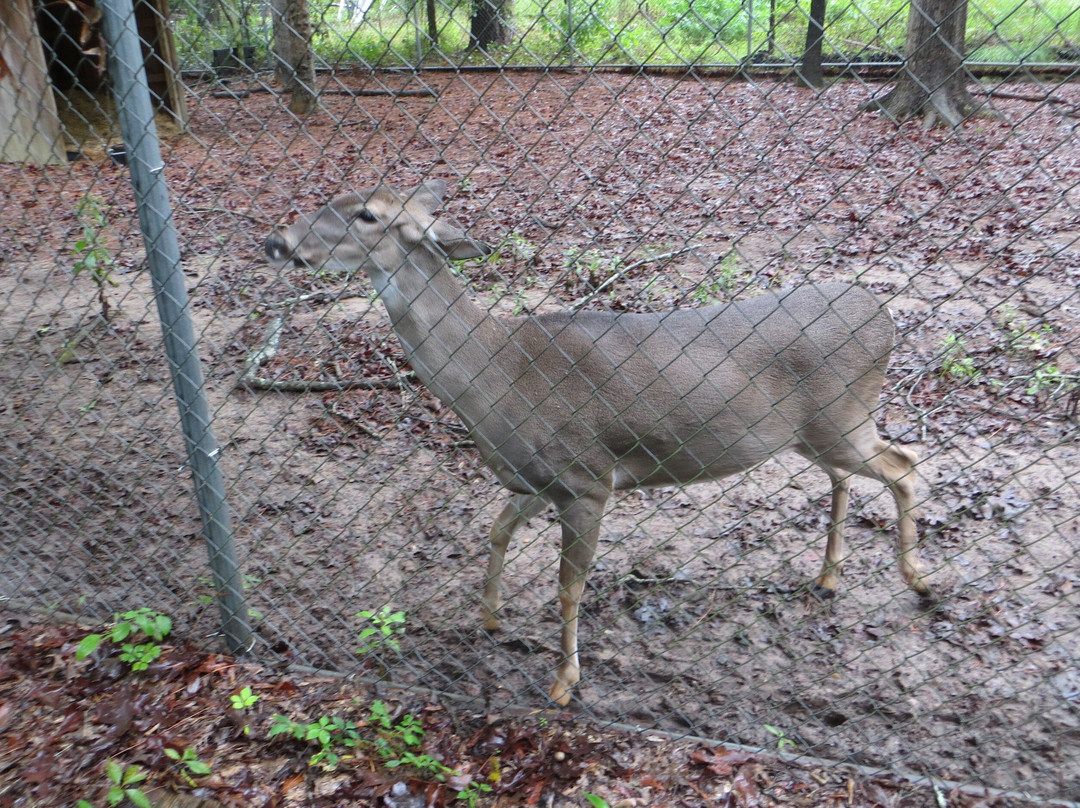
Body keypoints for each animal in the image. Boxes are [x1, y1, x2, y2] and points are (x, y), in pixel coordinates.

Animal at [265, 180, 933, 704]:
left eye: (366, 214)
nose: (278, 241)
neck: (496, 377)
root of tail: (882, 313)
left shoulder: (588, 479)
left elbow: (568, 586)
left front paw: (564, 681)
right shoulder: (537, 480)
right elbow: (497, 531)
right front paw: (490, 618)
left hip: (843, 417)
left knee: (905, 463)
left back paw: (918, 580)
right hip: (819, 433)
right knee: (848, 475)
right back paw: (828, 577)